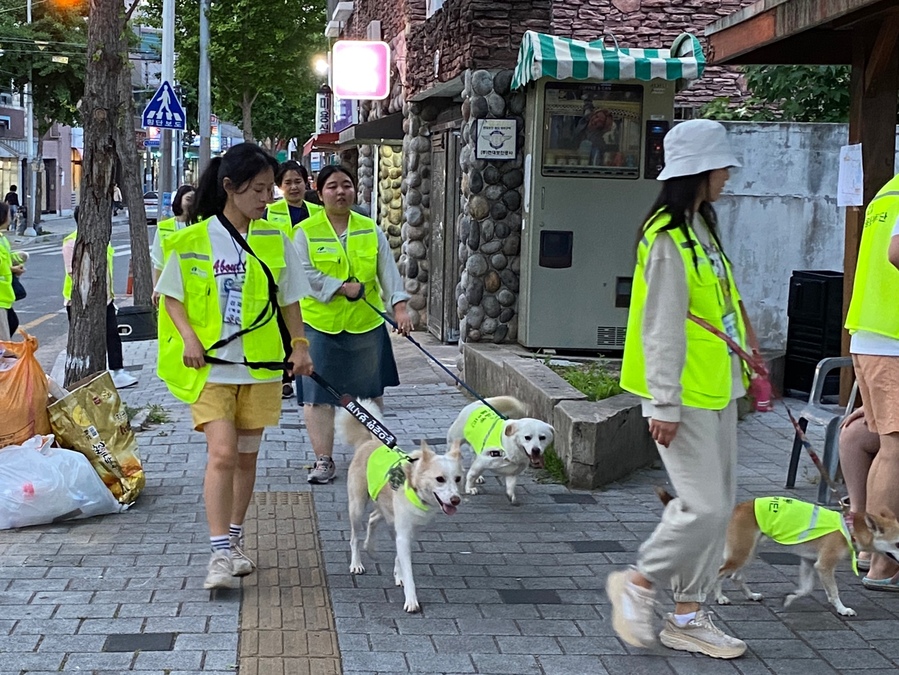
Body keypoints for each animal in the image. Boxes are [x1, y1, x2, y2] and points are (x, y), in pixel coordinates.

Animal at [338, 404, 464, 616]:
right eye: (440, 479)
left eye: (458, 479)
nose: (456, 500)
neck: (415, 488)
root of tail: (369, 442)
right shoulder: (403, 532)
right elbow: (408, 569)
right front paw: (411, 599)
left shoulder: (410, 532)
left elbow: (399, 557)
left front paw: (399, 575)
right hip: (357, 507)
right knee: (355, 537)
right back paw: (356, 563)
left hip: (386, 511)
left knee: (373, 518)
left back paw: (371, 548)